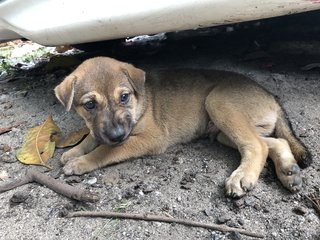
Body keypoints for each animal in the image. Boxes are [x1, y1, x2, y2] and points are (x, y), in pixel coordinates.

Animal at [54, 57, 310, 198]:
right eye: (89, 105)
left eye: (124, 97)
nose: (117, 135)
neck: (140, 102)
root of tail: (271, 97)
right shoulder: (101, 129)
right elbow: (92, 136)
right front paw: (74, 151)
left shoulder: (151, 138)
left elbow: (106, 150)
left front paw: (81, 162)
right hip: (224, 131)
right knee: (275, 141)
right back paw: (289, 171)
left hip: (218, 102)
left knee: (256, 146)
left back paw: (242, 176)